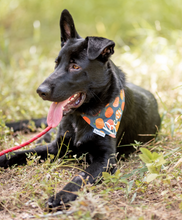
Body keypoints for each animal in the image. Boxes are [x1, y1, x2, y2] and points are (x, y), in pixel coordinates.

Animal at [0, 9, 160, 209]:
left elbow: (80, 176)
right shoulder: (56, 147)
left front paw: (61, 195)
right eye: (56, 64)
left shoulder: (105, 160)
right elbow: (19, 153)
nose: (40, 91)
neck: (80, 117)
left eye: (75, 66)